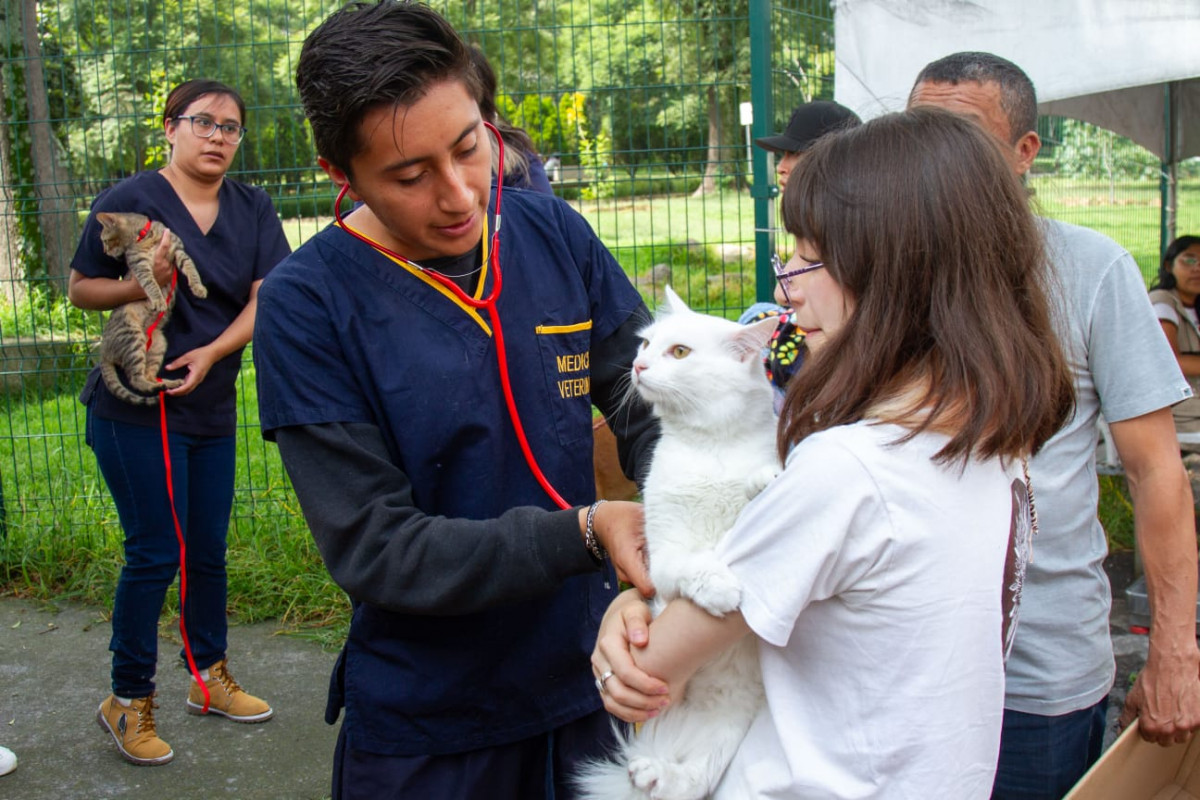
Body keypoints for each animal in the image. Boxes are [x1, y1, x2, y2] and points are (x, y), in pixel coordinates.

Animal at [95, 211, 206, 407]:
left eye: (105, 241)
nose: (105, 251)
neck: (145, 235)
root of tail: (104, 350)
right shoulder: (140, 265)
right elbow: (151, 284)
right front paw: (159, 300)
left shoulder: (178, 251)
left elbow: (192, 269)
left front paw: (198, 287)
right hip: (133, 338)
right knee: (135, 379)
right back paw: (158, 387)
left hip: (158, 344)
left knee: (148, 375)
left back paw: (168, 383)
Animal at [576, 287, 782, 800]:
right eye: (646, 343)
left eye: (681, 352)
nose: (638, 366)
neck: (711, 449)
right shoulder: (664, 562)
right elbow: (696, 563)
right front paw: (721, 588)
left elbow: (751, 495)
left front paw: (766, 481)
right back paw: (648, 773)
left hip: (731, 725)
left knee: (694, 778)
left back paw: (656, 773)